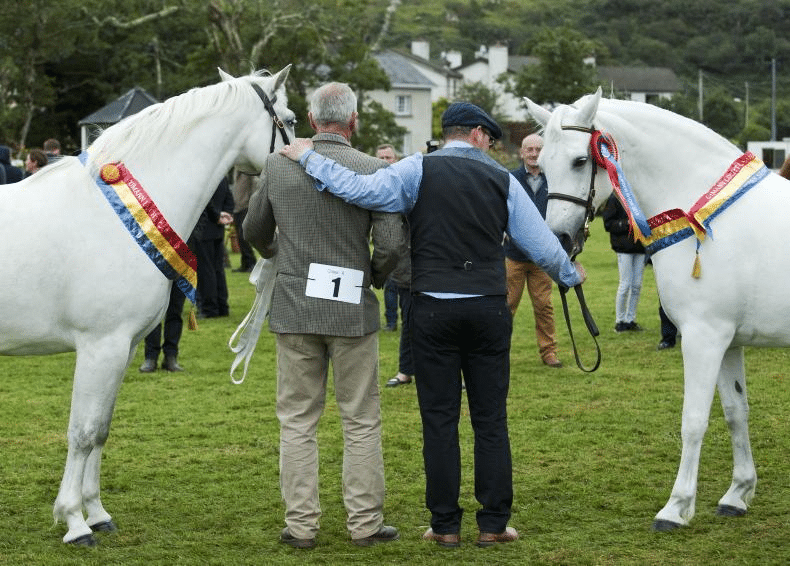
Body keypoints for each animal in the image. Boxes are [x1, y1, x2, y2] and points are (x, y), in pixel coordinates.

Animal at [0, 65, 296, 544]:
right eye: (289, 120)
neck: (119, 216)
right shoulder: (100, 348)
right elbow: (82, 432)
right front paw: (74, 521)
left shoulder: (123, 347)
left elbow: (101, 430)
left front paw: (97, 513)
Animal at [524, 89, 790, 532]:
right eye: (541, 164)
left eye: (579, 160)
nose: (558, 239)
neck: (706, 219)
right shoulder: (728, 341)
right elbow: (736, 412)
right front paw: (737, 494)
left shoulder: (703, 337)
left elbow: (693, 421)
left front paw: (676, 507)